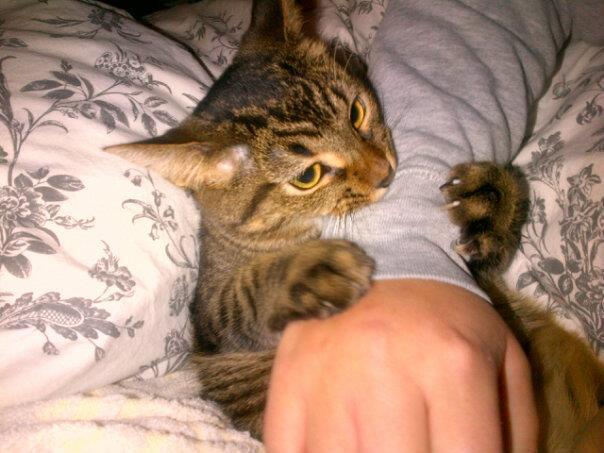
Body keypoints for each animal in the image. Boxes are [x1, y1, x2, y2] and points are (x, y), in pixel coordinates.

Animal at [106, 0, 604, 450]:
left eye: (356, 112)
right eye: (308, 175)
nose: (385, 173)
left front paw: (493, 197)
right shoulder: (212, 322)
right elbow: (242, 296)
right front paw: (309, 269)